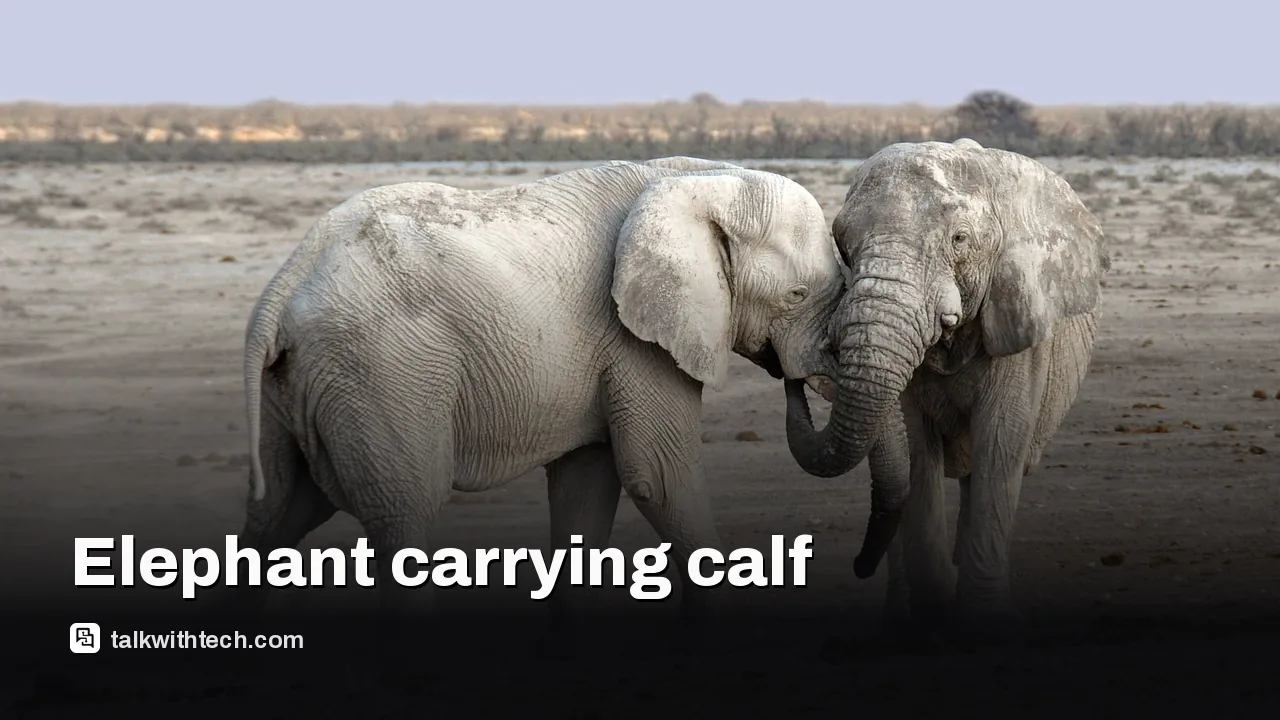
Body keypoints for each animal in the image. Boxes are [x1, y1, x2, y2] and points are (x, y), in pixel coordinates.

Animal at [230, 156, 847, 624]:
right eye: (795, 295)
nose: (796, 381)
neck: (706, 180)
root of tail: (285, 282)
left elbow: (586, 488)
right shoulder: (633, 338)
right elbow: (658, 477)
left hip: (304, 384)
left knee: (279, 512)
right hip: (382, 371)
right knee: (402, 516)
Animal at [784, 139, 1110, 636]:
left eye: (959, 240)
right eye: (842, 243)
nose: (797, 378)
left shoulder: (1019, 318)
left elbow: (1001, 442)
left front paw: (983, 622)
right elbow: (917, 450)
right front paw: (932, 611)